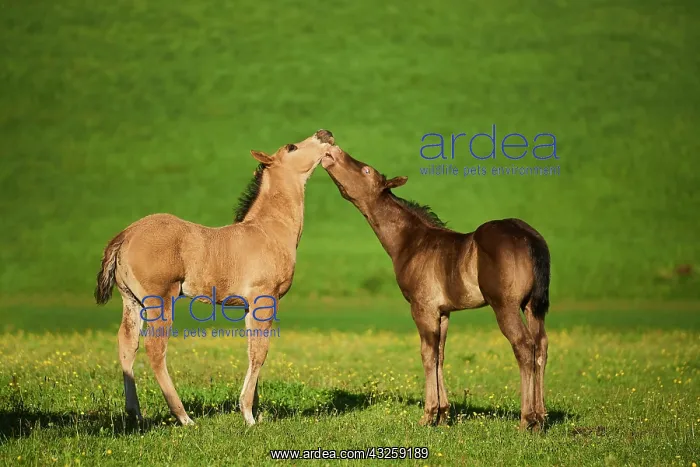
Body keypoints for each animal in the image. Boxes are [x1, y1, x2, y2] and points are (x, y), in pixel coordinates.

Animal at [95, 130, 336, 425]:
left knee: (127, 345)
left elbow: (251, 349)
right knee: (155, 348)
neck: (269, 230)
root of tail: (125, 235)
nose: (326, 134)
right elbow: (260, 352)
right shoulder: (265, 298)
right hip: (160, 300)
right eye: (291, 147)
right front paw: (248, 415)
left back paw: (136, 414)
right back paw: (184, 417)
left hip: (132, 301)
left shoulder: (247, 307)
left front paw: (255, 410)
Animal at [321, 147, 551, 431]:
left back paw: (526, 419)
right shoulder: (443, 312)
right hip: (533, 306)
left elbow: (427, 354)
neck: (411, 242)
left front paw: (428, 414)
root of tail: (530, 238)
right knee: (541, 345)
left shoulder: (422, 308)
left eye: (366, 170)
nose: (332, 151)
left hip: (505, 306)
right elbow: (440, 354)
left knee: (524, 346)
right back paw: (541, 417)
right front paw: (443, 414)